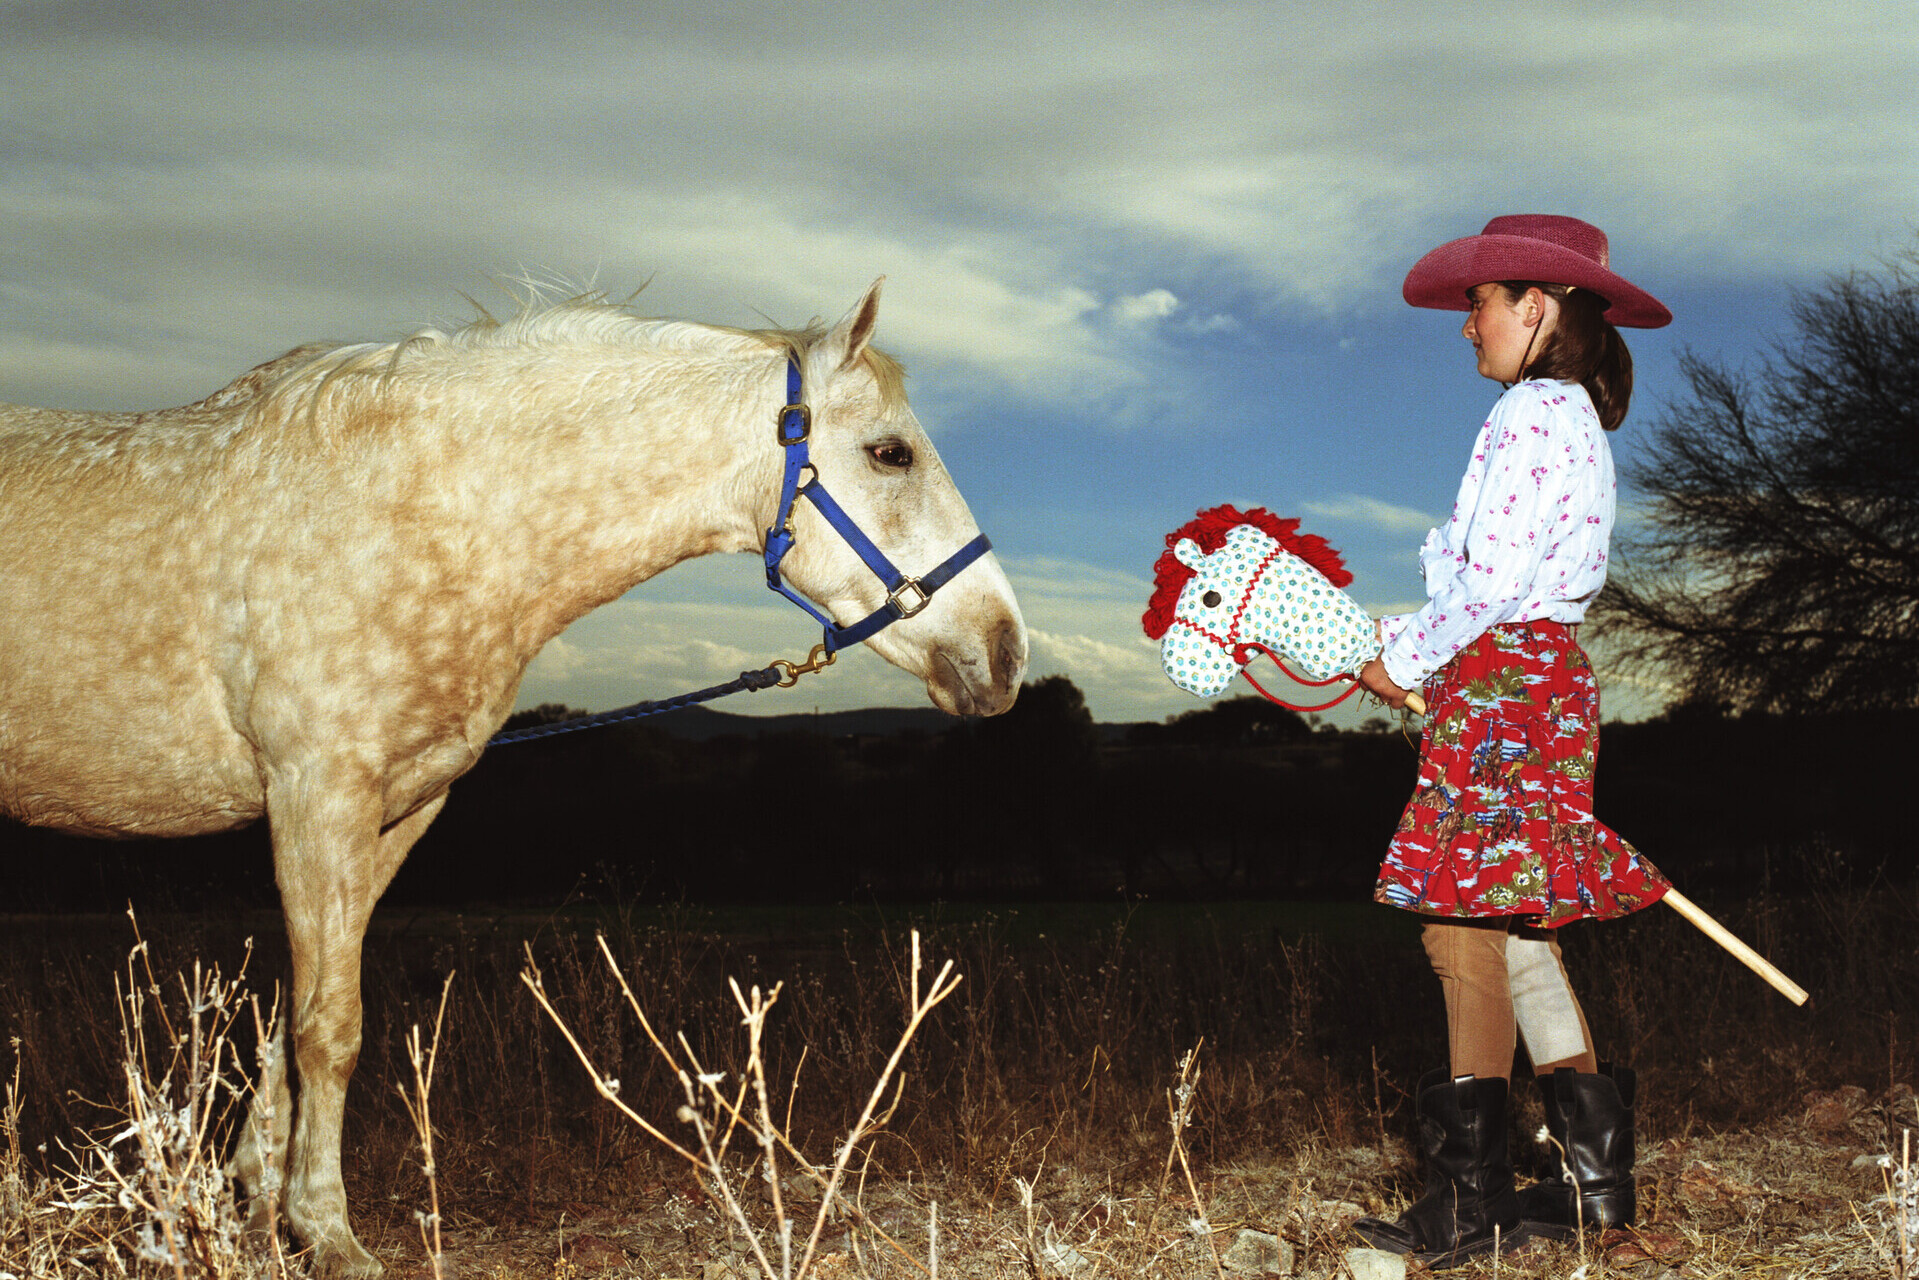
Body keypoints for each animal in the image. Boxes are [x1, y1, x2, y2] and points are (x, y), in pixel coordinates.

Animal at [0, 278, 1036, 1274]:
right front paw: (327, 1232)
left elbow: (298, 1012)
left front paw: (260, 1203)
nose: (1005, 651)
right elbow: (330, 1026)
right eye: (890, 453)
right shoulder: (317, 793)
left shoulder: (394, 810)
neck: (421, 509)